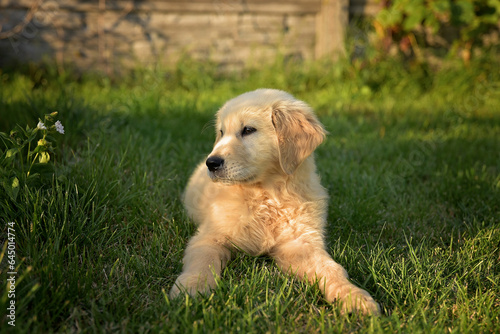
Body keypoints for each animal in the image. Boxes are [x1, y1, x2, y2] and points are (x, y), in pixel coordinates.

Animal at [170, 88, 380, 314]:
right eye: (221, 132)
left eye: (248, 130)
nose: (211, 163)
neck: (267, 195)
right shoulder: (209, 236)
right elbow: (202, 261)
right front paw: (191, 289)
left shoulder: (300, 243)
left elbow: (332, 269)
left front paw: (352, 296)